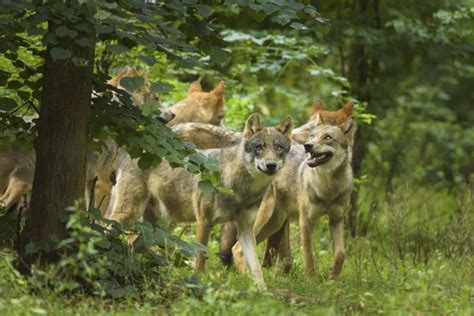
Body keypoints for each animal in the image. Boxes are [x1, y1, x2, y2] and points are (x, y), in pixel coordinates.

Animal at [231, 102, 354, 278]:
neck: (328, 188)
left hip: (275, 222)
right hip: (264, 217)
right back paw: (248, 278)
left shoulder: (336, 220)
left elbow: (341, 253)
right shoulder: (305, 221)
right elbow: (309, 257)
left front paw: (333, 277)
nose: (308, 146)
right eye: (312, 136)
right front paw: (312, 280)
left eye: (327, 137)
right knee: (237, 248)